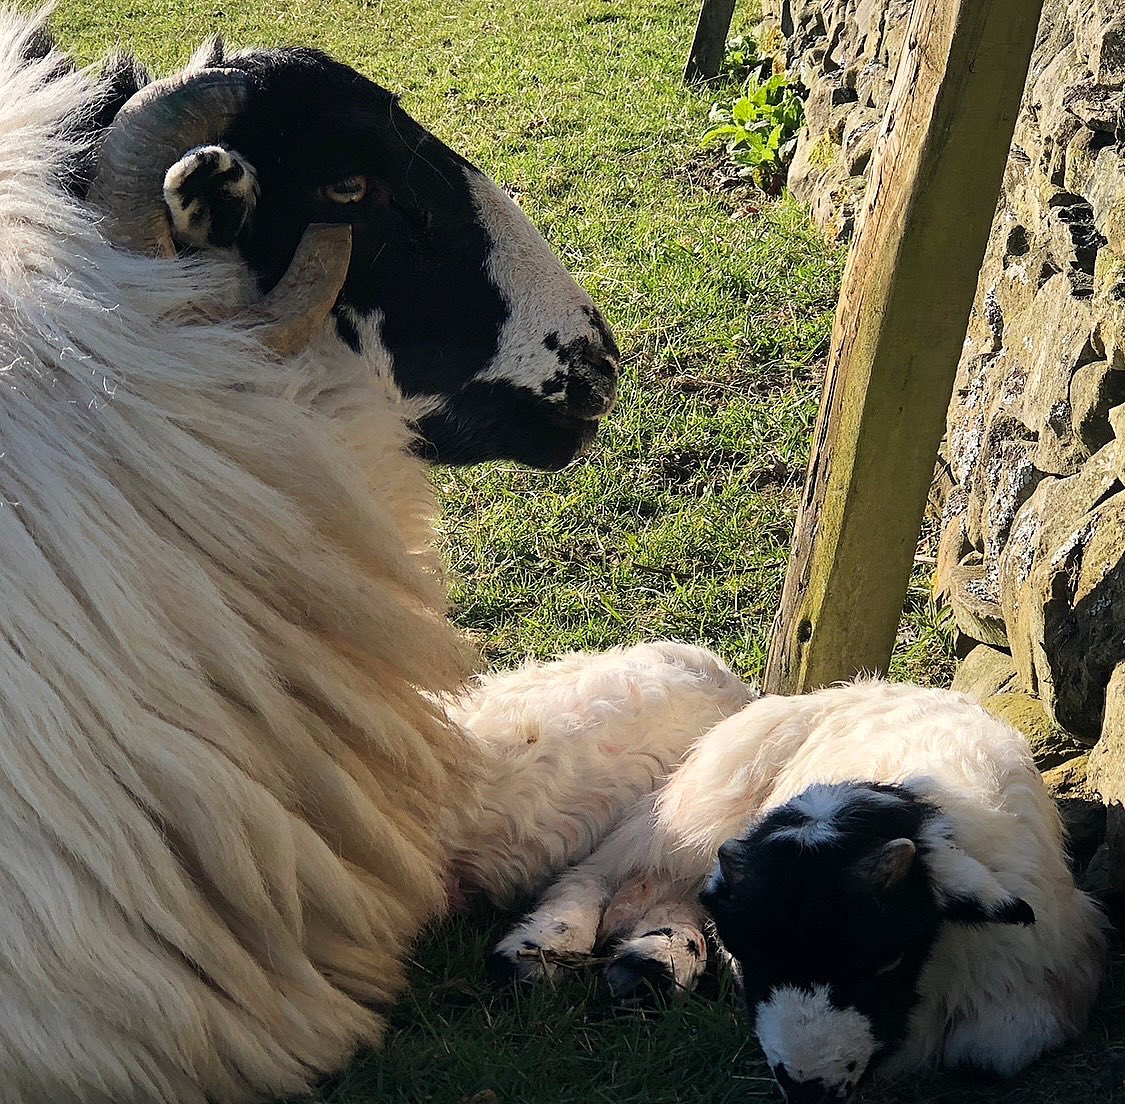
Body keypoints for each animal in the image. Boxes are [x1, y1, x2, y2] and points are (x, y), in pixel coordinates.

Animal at [493, 679, 1106, 1100]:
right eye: (748, 955)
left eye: (888, 959)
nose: (807, 1088)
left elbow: (989, 1049)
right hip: (702, 797)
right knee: (606, 869)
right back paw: (537, 951)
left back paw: (647, 967)